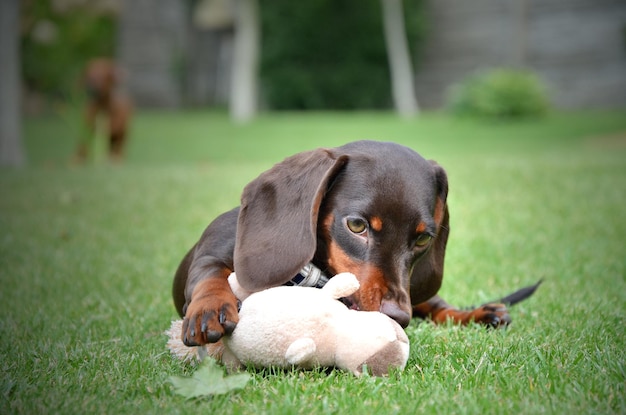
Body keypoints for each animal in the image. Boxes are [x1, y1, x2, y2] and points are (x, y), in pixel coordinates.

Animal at [171, 141, 536, 348]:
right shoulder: (210, 252)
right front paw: (210, 309)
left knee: (435, 306)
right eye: (357, 226)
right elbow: (210, 275)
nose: (397, 317)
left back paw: (482, 313)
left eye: (422, 238)